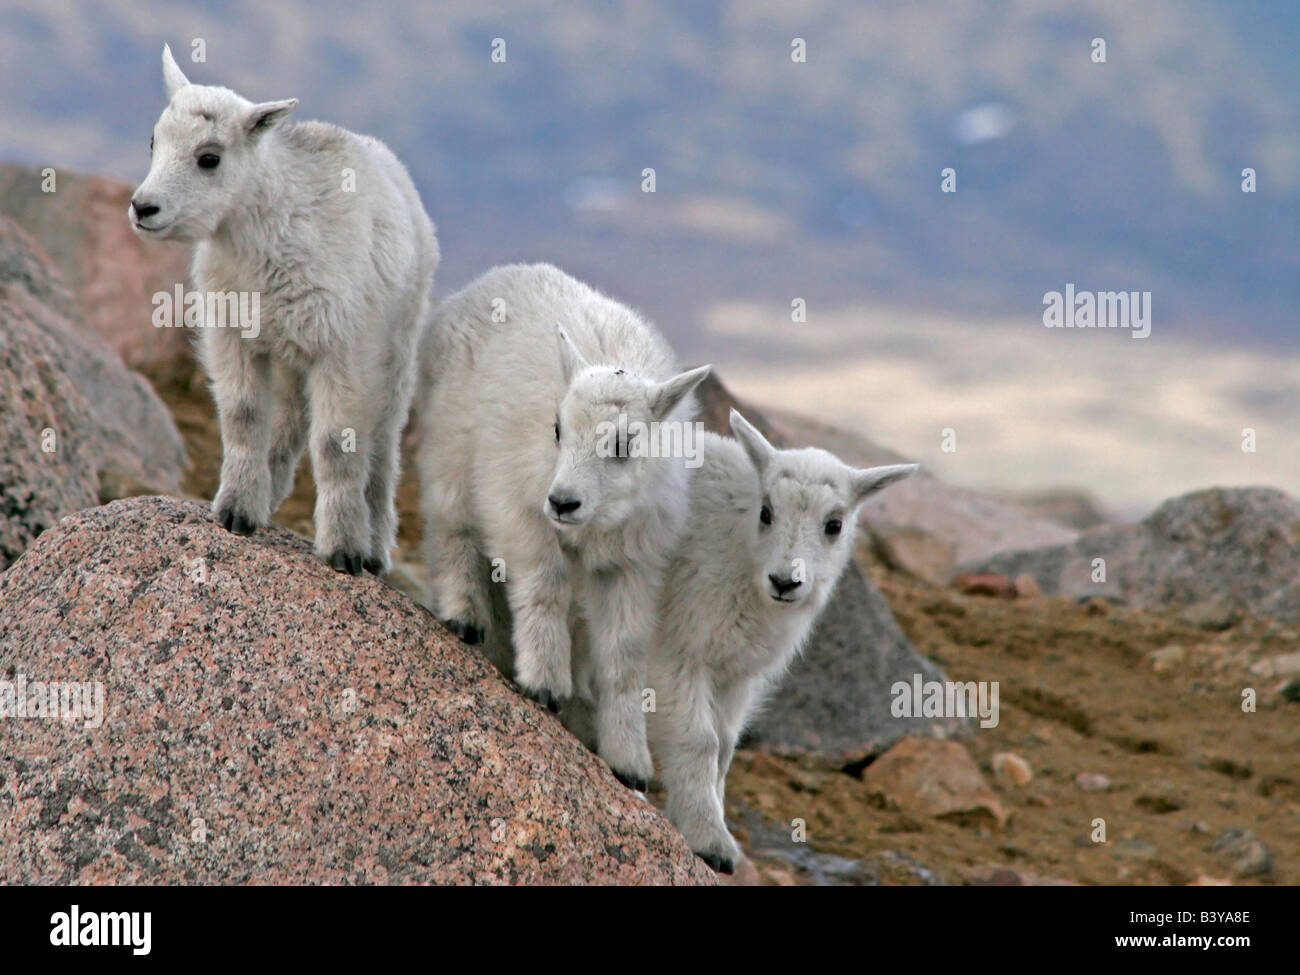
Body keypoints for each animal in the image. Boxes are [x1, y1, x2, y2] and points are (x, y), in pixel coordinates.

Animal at [129, 45, 439, 577]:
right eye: (154, 140)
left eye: (209, 158)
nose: (143, 208)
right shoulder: (233, 334)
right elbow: (244, 416)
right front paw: (235, 511)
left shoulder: (344, 350)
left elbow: (336, 444)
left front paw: (343, 550)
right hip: (292, 352)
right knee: (291, 422)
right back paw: (268, 494)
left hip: (397, 348)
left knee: (382, 447)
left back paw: (374, 546)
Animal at [421, 263, 712, 790]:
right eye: (556, 429)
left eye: (625, 444)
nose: (562, 502)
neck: (597, 518)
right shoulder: (520, 513)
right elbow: (545, 585)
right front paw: (544, 683)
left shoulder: (631, 562)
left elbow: (623, 655)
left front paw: (629, 761)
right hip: (450, 448)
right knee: (452, 530)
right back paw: (465, 614)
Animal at [647, 408, 915, 873]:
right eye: (767, 512)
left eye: (834, 525)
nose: (785, 582)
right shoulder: (680, 650)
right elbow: (700, 742)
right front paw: (709, 840)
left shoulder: (735, 674)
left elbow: (725, 748)